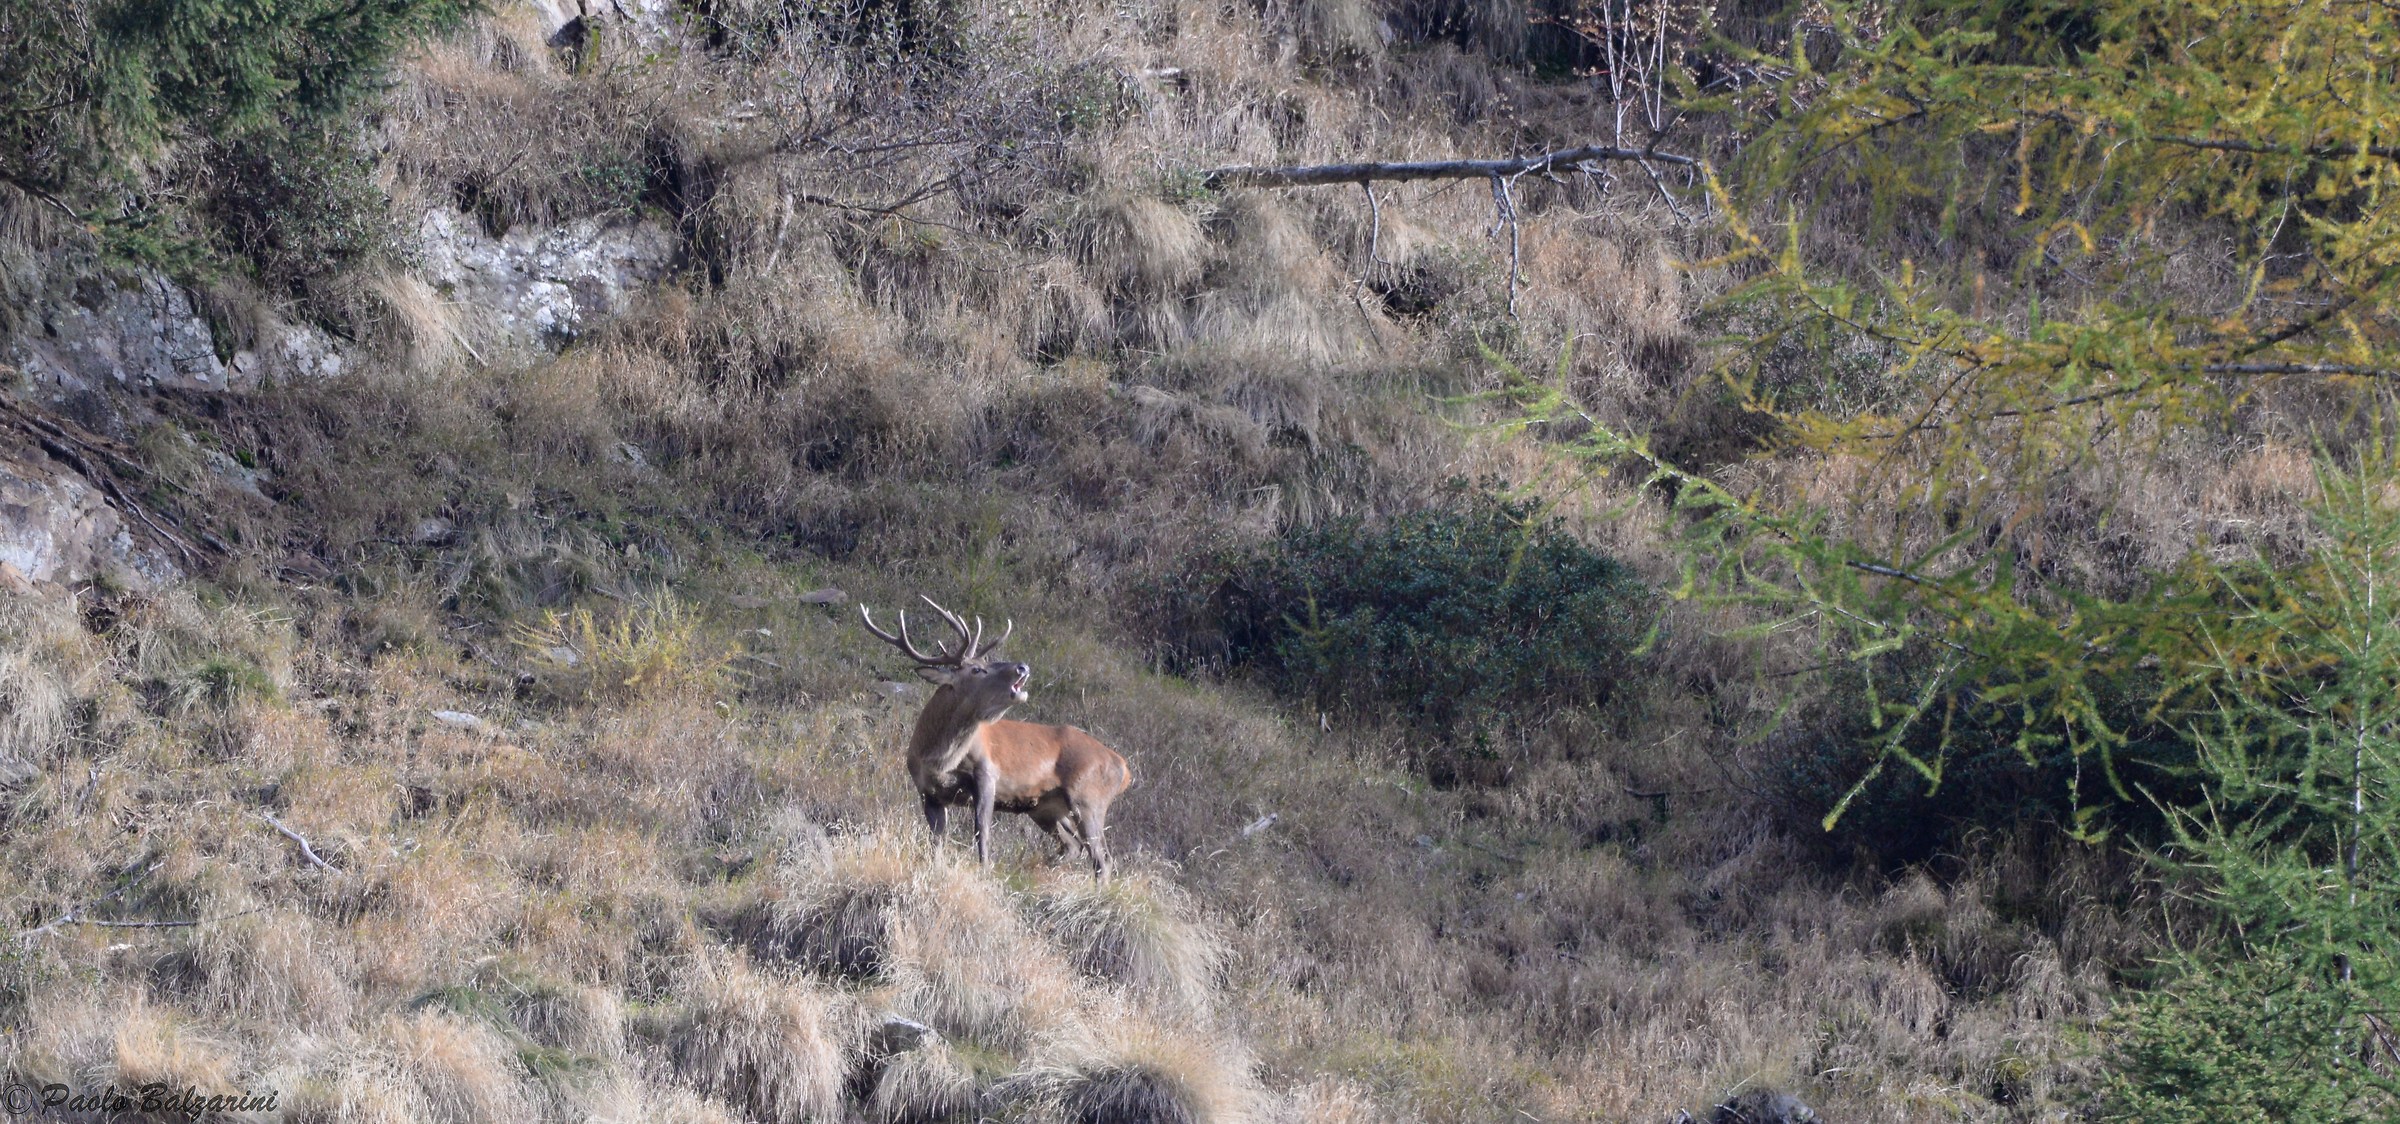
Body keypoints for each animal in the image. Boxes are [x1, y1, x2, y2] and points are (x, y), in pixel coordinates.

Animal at [862, 596, 1133, 879]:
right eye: (977, 669)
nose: (1022, 666)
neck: (937, 759)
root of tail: (1123, 768)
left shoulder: (987, 773)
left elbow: (982, 831)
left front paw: (984, 871)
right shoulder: (928, 792)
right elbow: (937, 840)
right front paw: (938, 870)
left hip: (1089, 797)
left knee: (1102, 857)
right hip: (1047, 808)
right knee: (1074, 846)